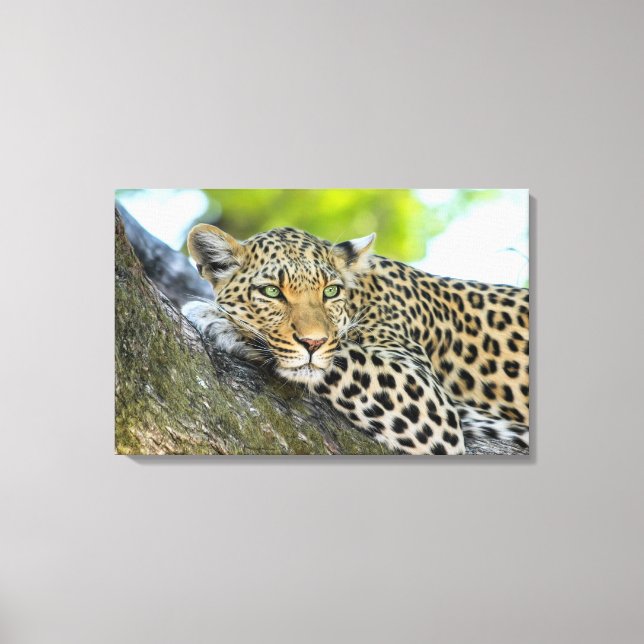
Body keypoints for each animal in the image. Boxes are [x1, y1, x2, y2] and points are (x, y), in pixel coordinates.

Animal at [181, 224, 529, 455]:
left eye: (330, 291)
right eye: (271, 291)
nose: (313, 343)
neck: (362, 296)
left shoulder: (430, 402)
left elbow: (341, 355)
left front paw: (219, 319)